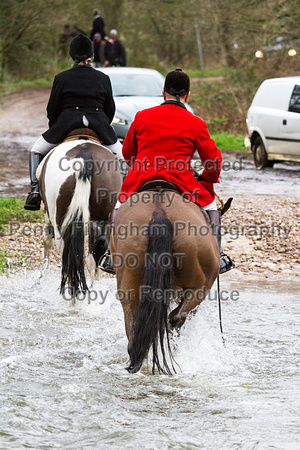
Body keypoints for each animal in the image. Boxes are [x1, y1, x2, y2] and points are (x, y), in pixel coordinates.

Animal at [37, 130, 122, 298]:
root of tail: (85, 155)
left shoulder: (48, 215)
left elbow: (47, 242)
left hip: (60, 220)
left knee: (67, 254)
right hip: (101, 217)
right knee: (95, 252)